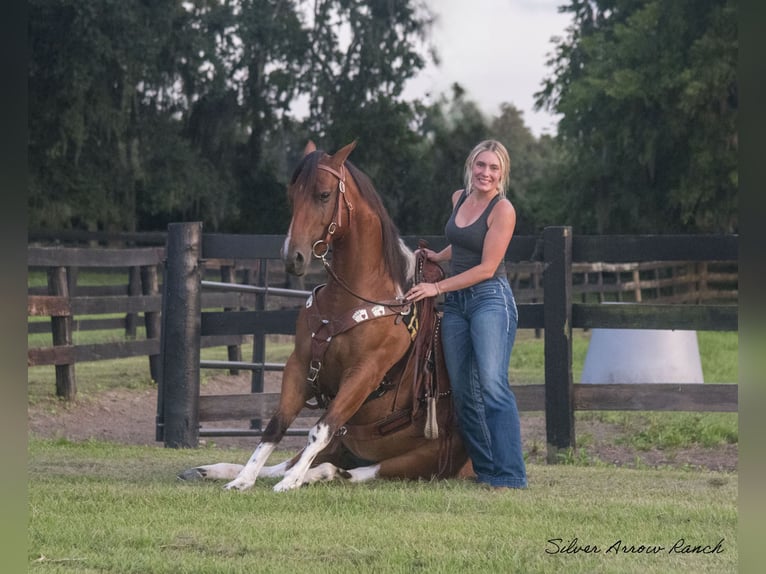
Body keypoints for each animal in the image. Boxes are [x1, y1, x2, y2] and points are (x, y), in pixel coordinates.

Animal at [181, 142, 472, 492]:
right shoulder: (299, 365)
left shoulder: (363, 374)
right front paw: (243, 479)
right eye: (291, 195)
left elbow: (321, 427)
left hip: (417, 461)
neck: (350, 298)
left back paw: (307, 476)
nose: (292, 257)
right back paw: (211, 470)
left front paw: (291, 482)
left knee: (346, 471)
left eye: (323, 194)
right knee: (295, 463)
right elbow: (275, 426)